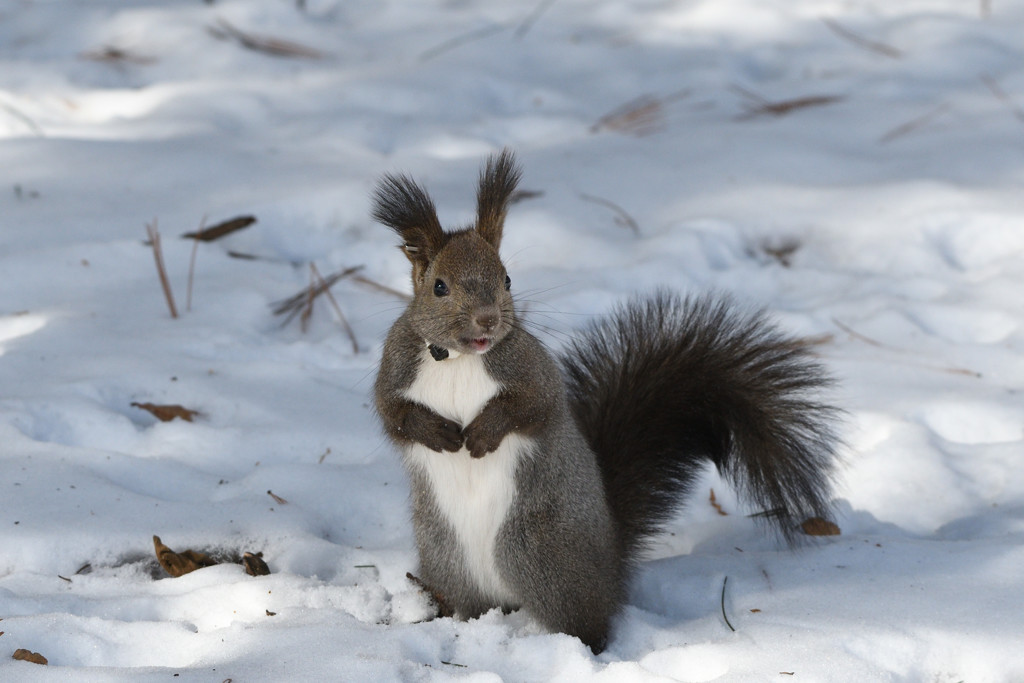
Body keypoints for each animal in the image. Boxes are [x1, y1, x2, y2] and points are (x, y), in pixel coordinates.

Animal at [372, 148, 835, 651]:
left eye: (507, 279)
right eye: (439, 286)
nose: (488, 319)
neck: (458, 359)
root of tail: (611, 561)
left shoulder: (532, 371)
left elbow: (533, 407)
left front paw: (480, 434)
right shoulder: (395, 367)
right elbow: (393, 415)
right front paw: (438, 433)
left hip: (540, 554)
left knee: (586, 620)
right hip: (448, 556)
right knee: (470, 602)